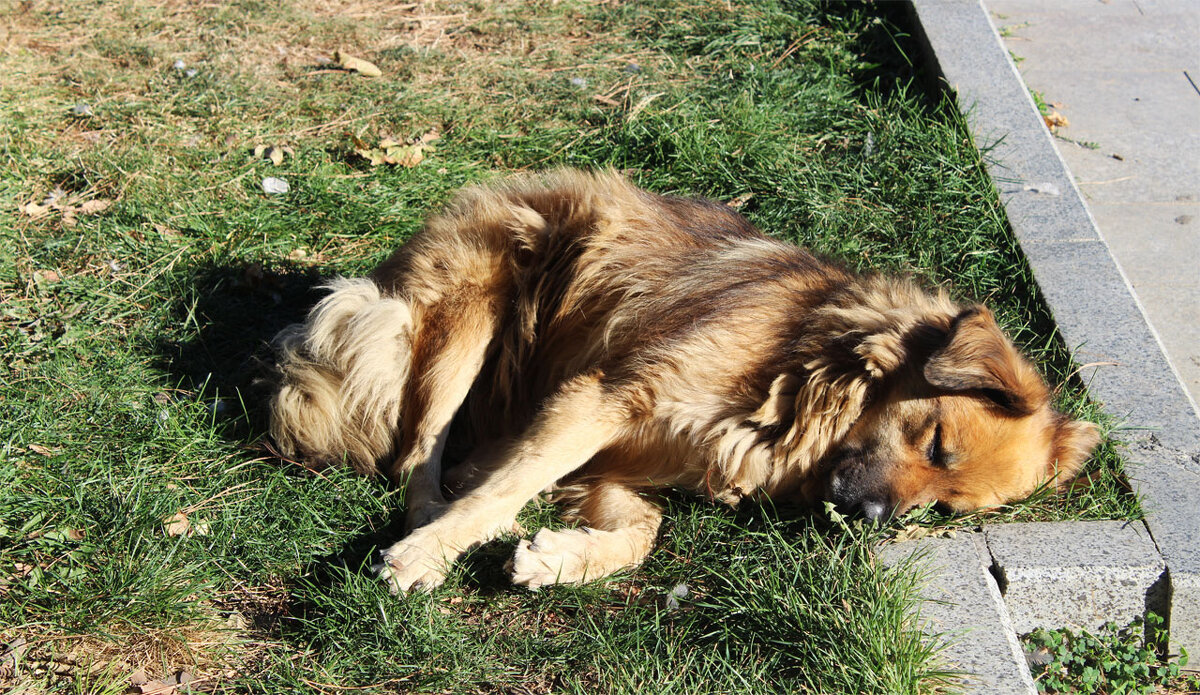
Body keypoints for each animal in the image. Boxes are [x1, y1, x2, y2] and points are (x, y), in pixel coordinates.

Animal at [270, 168, 1099, 592]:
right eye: (936, 441)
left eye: (945, 505)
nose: (868, 518)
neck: (806, 371)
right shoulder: (605, 396)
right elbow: (511, 482)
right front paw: (435, 550)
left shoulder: (630, 456)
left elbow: (644, 532)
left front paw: (558, 559)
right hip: (470, 314)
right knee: (419, 453)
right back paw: (433, 522)